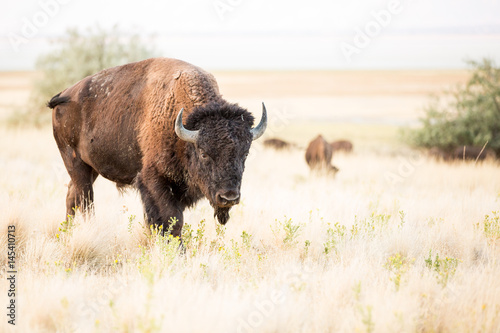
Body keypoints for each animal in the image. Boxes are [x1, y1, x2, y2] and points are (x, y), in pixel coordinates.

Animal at [48, 57, 268, 236]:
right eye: (204, 153)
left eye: (245, 154)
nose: (228, 196)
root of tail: (65, 95)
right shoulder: (154, 181)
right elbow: (171, 220)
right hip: (75, 163)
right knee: (85, 201)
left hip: (90, 168)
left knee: (72, 196)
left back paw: (67, 233)